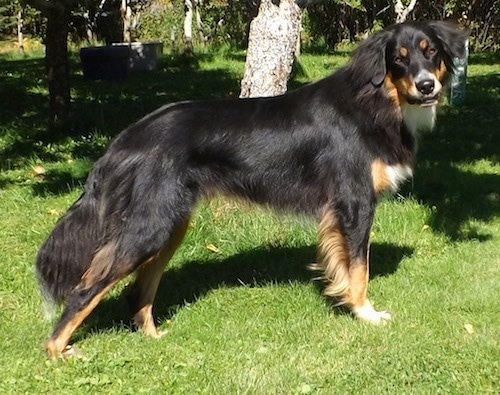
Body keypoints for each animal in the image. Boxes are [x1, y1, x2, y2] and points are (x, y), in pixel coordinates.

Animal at [37, 19, 466, 358]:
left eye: (431, 52)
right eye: (399, 58)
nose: (426, 86)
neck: (375, 100)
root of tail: (129, 136)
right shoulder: (354, 202)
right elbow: (359, 268)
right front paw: (365, 313)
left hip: (170, 223)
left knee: (139, 289)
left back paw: (152, 336)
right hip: (152, 225)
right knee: (88, 285)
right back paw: (57, 351)